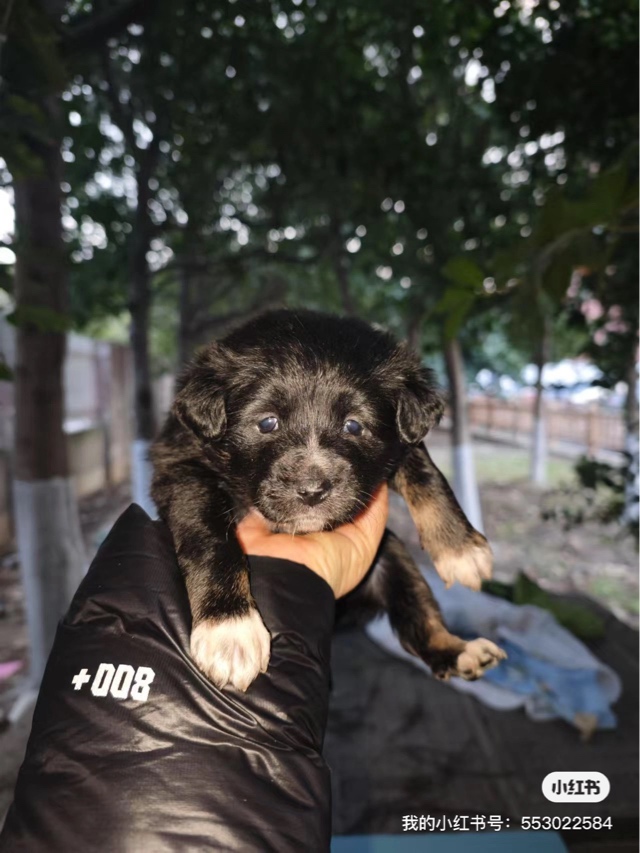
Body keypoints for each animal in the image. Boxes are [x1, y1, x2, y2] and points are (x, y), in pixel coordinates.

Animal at [151, 309, 506, 691]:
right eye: (267, 422)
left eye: (353, 426)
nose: (312, 490)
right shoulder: (181, 466)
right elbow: (210, 535)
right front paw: (230, 628)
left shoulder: (401, 441)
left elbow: (425, 472)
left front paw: (459, 548)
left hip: (393, 558)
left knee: (419, 613)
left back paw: (459, 650)